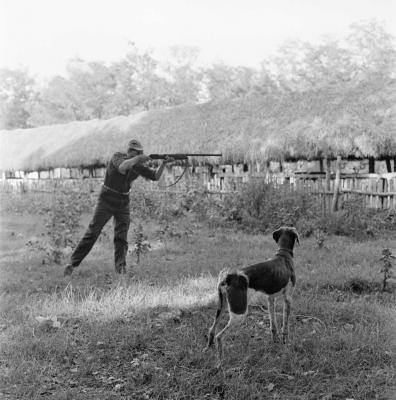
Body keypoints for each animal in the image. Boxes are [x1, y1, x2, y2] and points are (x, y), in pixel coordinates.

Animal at [206, 227, 298, 364]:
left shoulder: (270, 298)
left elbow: (273, 324)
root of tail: (229, 277)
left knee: (212, 330)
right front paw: (285, 342)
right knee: (219, 336)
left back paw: (208, 350)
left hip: (221, 307)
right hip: (239, 313)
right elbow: (284, 327)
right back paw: (221, 362)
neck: (283, 254)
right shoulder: (288, 299)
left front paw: (275, 341)